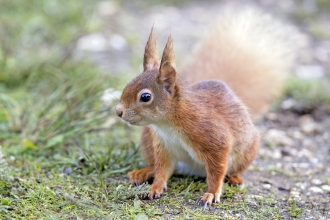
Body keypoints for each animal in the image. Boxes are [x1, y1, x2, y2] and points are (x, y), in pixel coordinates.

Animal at [115, 6, 294, 207]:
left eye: (145, 97)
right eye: (129, 83)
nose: (118, 111)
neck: (168, 124)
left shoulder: (214, 138)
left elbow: (217, 170)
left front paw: (212, 193)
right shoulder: (163, 147)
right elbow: (162, 169)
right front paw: (155, 188)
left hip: (247, 152)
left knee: (231, 170)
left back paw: (234, 178)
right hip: (147, 139)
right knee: (154, 165)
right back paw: (144, 172)